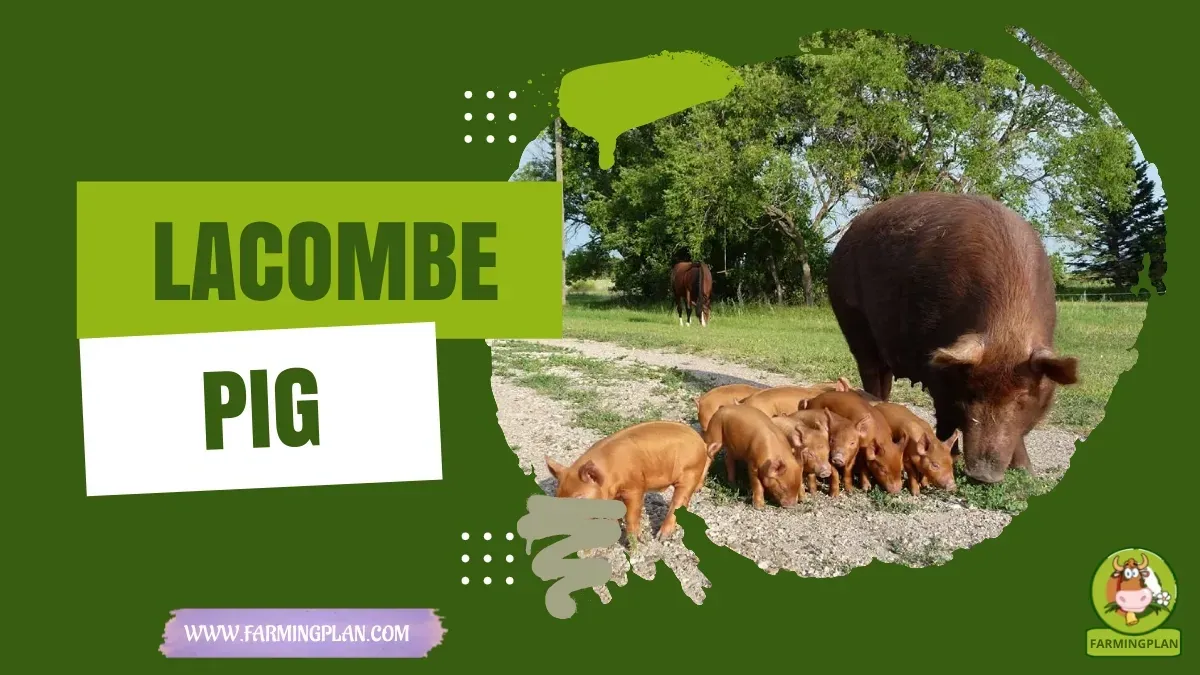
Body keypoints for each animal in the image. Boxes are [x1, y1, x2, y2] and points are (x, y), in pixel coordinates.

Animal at [544, 421, 717, 542]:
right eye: (558, 496)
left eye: (579, 498)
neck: (610, 474)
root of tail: (702, 443)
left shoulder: (634, 488)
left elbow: (632, 514)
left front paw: (636, 541)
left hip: (690, 473)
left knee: (679, 502)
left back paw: (661, 538)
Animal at [827, 192, 1080, 484]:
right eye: (970, 393)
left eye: (1021, 400)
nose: (982, 475)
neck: (1007, 327)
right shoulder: (936, 365)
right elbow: (945, 413)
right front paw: (950, 454)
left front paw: (1027, 472)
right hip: (852, 319)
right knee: (870, 373)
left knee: (884, 378)